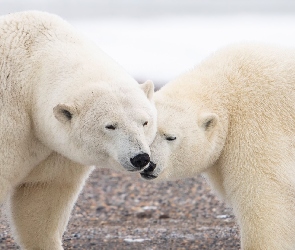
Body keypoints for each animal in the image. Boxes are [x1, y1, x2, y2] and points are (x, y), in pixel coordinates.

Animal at [0, 10, 157, 249]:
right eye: (110, 125)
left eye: (145, 122)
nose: (140, 158)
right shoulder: (10, 123)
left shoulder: (56, 149)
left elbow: (42, 197)